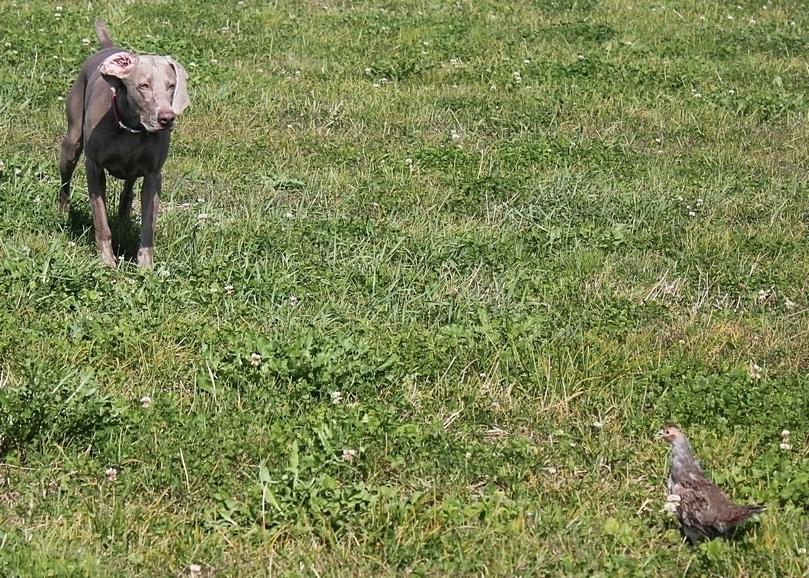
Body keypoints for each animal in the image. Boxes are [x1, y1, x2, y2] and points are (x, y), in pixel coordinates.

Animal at [58, 20, 189, 268]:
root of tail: (109, 47)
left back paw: (124, 214)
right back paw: (63, 213)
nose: (166, 118)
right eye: (143, 86)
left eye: (171, 86)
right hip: (72, 142)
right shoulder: (94, 167)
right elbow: (101, 220)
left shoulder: (153, 175)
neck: (132, 130)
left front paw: (145, 267)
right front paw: (107, 262)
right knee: (65, 180)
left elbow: (148, 225)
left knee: (128, 187)